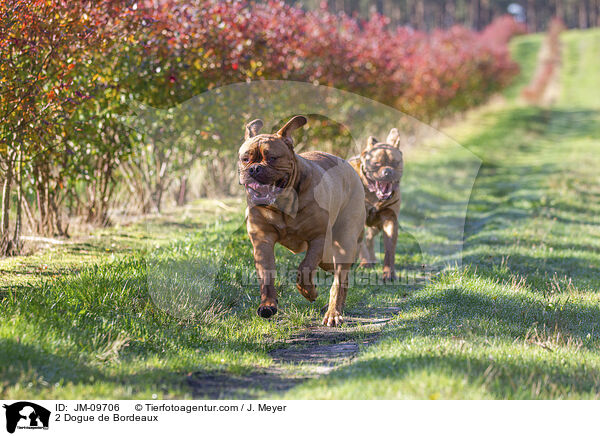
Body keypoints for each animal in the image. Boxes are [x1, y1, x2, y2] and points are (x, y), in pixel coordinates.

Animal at [239, 116, 366, 328]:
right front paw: (268, 304)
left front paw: (309, 292)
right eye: (245, 159)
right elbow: (266, 275)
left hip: (344, 239)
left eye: (272, 158)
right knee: (336, 270)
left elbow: (304, 268)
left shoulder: (318, 238)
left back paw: (333, 312)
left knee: (339, 279)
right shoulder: (262, 240)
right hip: (329, 254)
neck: (282, 203)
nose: (255, 169)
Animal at [346, 127, 404, 282]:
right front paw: (363, 261)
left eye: (395, 163)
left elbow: (389, 250)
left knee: (369, 238)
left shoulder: (390, 219)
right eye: (377, 163)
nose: (388, 171)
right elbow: (359, 244)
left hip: (376, 225)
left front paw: (389, 273)